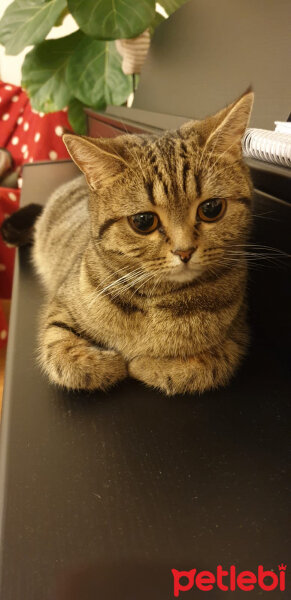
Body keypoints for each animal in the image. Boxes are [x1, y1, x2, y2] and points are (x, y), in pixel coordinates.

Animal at [32, 90, 256, 394]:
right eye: (143, 221)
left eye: (211, 209)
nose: (184, 251)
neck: (159, 301)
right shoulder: (59, 310)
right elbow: (64, 355)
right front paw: (111, 364)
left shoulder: (235, 337)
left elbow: (202, 366)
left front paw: (145, 364)